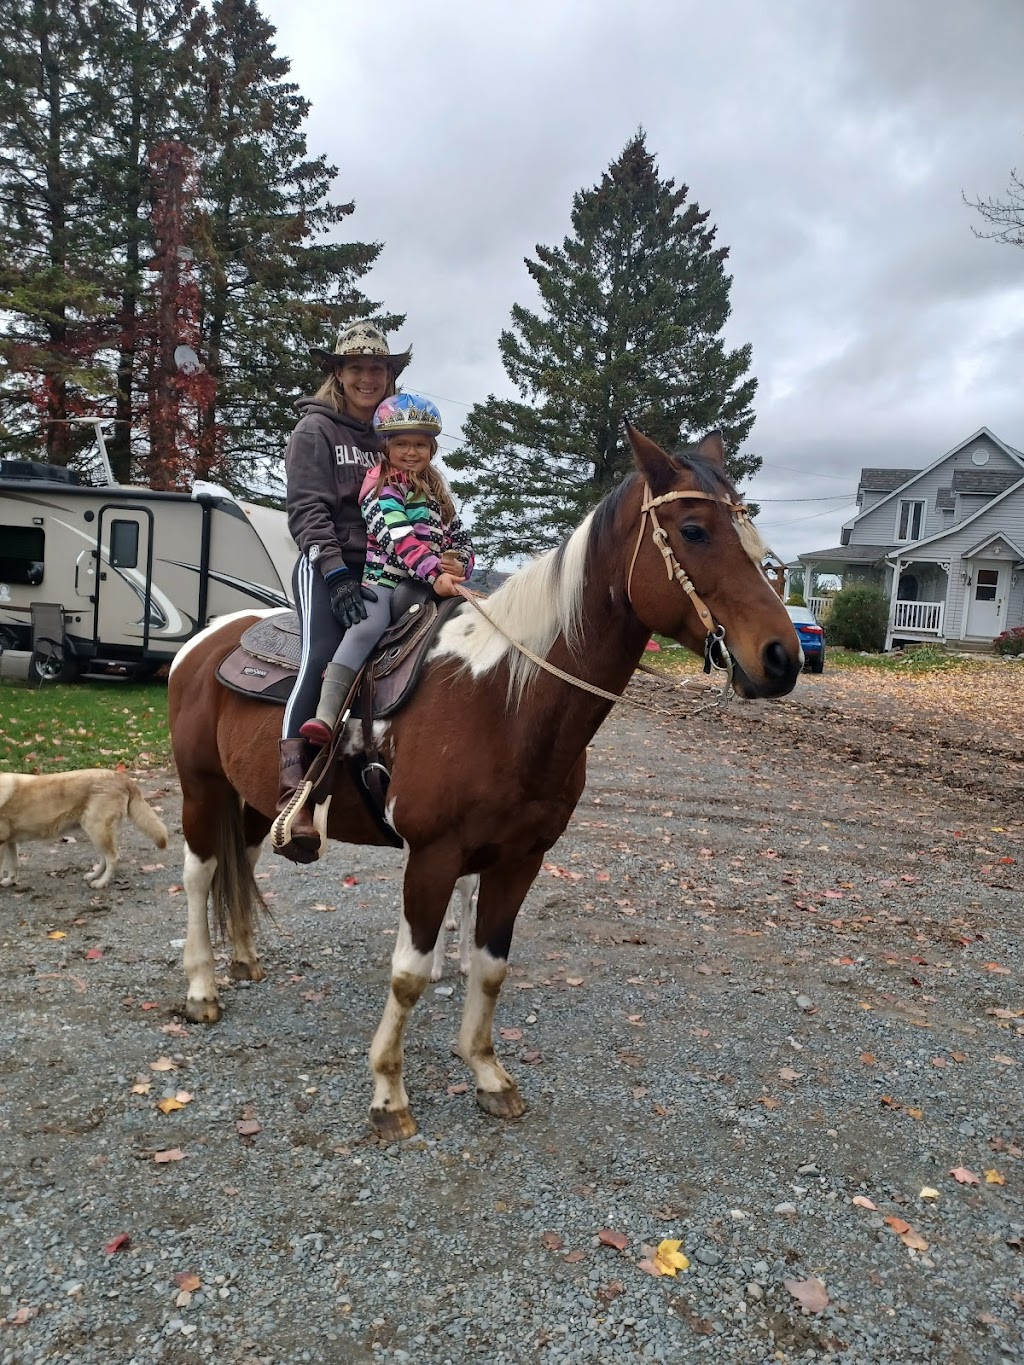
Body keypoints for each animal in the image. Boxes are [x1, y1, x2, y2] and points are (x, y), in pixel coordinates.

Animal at [0, 775, 168, 889]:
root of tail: (121, 776)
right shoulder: (9, 842)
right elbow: (14, 865)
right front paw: (10, 881)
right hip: (97, 833)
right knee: (104, 858)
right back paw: (94, 875)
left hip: (97, 831)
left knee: (113, 858)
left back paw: (101, 882)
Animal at [168, 423, 808, 1141]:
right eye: (694, 529)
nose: (784, 657)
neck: (501, 696)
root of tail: (204, 641)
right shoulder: (433, 856)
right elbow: (410, 974)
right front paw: (389, 1093)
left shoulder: (520, 858)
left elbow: (492, 965)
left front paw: (487, 1074)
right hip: (200, 788)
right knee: (200, 875)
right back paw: (201, 989)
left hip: (251, 801)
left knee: (244, 860)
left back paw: (244, 960)